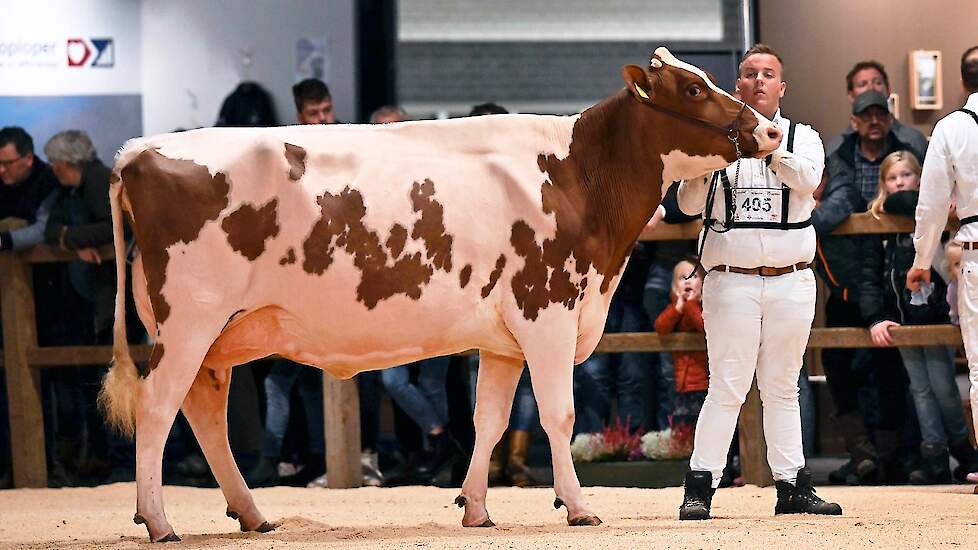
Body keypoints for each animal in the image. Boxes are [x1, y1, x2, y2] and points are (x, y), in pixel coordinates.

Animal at [101, 48, 776, 544]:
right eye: (691, 89)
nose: (768, 129)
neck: (578, 175)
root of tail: (139, 150)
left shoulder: (507, 336)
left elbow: (490, 419)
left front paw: (476, 507)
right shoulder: (549, 311)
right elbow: (559, 414)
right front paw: (579, 506)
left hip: (217, 336)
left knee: (204, 414)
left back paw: (252, 514)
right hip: (189, 323)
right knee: (157, 409)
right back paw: (159, 522)